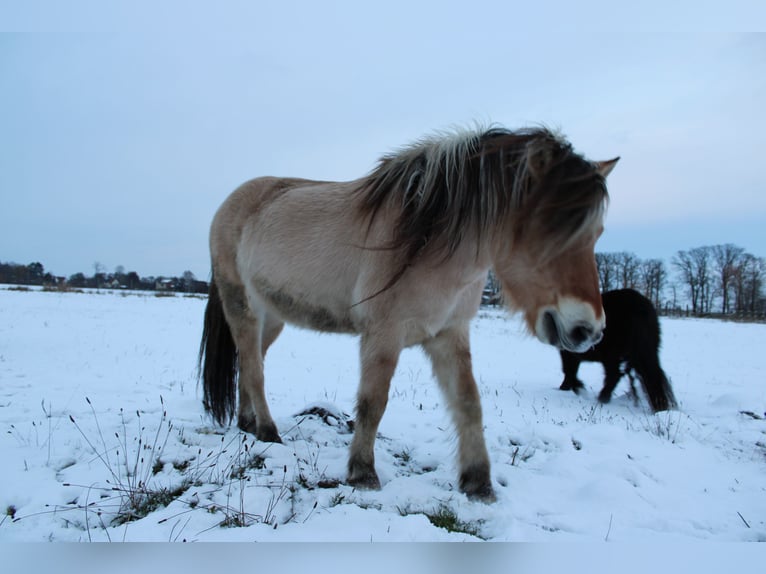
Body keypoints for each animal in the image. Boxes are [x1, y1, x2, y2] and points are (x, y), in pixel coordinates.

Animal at [199, 125, 618, 501]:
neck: (428, 242)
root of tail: (228, 204)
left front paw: (478, 482)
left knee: (249, 360)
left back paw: (248, 423)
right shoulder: (383, 335)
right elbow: (373, 403)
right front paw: (363, 473)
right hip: (242, 306)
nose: (588, 330)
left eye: (597, 233)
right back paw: (269, 432)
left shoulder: (449, 334)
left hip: (272, 317)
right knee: (253, 366)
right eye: (550, 229)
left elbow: (469, 403)